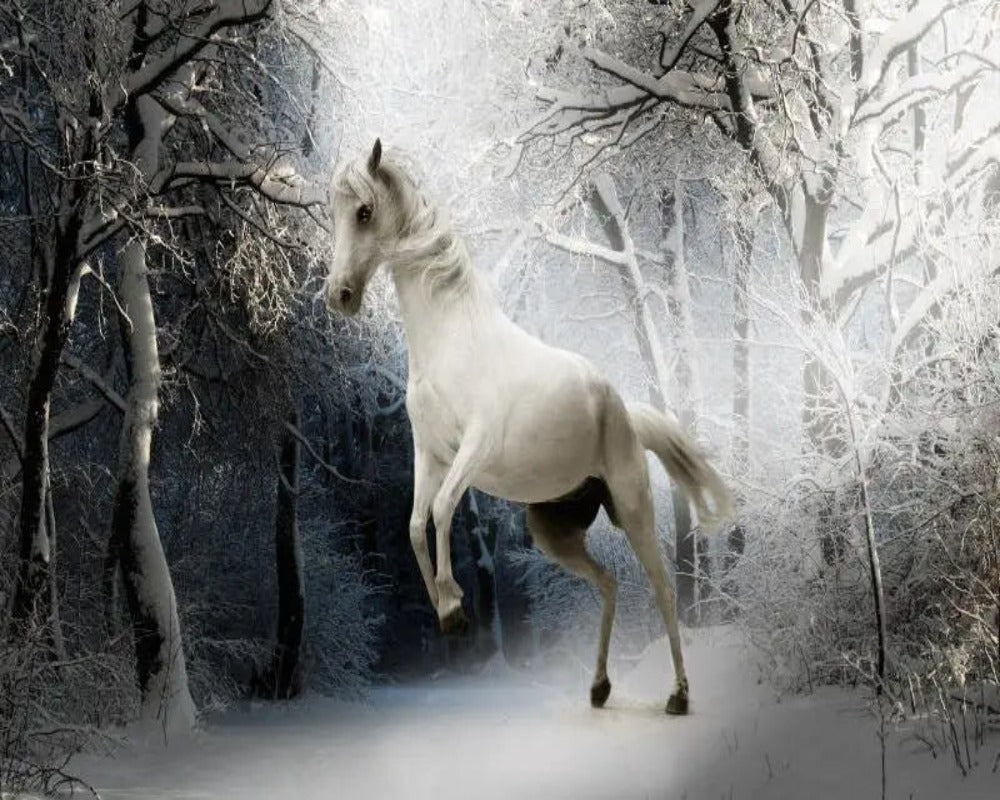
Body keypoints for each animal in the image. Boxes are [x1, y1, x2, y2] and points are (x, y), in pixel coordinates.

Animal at [324, 139, 731, 715]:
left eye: (363, 212)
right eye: (333, 211)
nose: (339, 295)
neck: (451, 342)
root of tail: (624, 411)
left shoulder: (473, 448)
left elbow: (442, 510)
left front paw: (454, 604)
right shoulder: (429, 453)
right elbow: (415, 525)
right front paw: (447, 612)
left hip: (633, 510)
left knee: (664, 590)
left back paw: (678, 696)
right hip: (551, 532)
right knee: (609, 584)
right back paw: (599, 688)